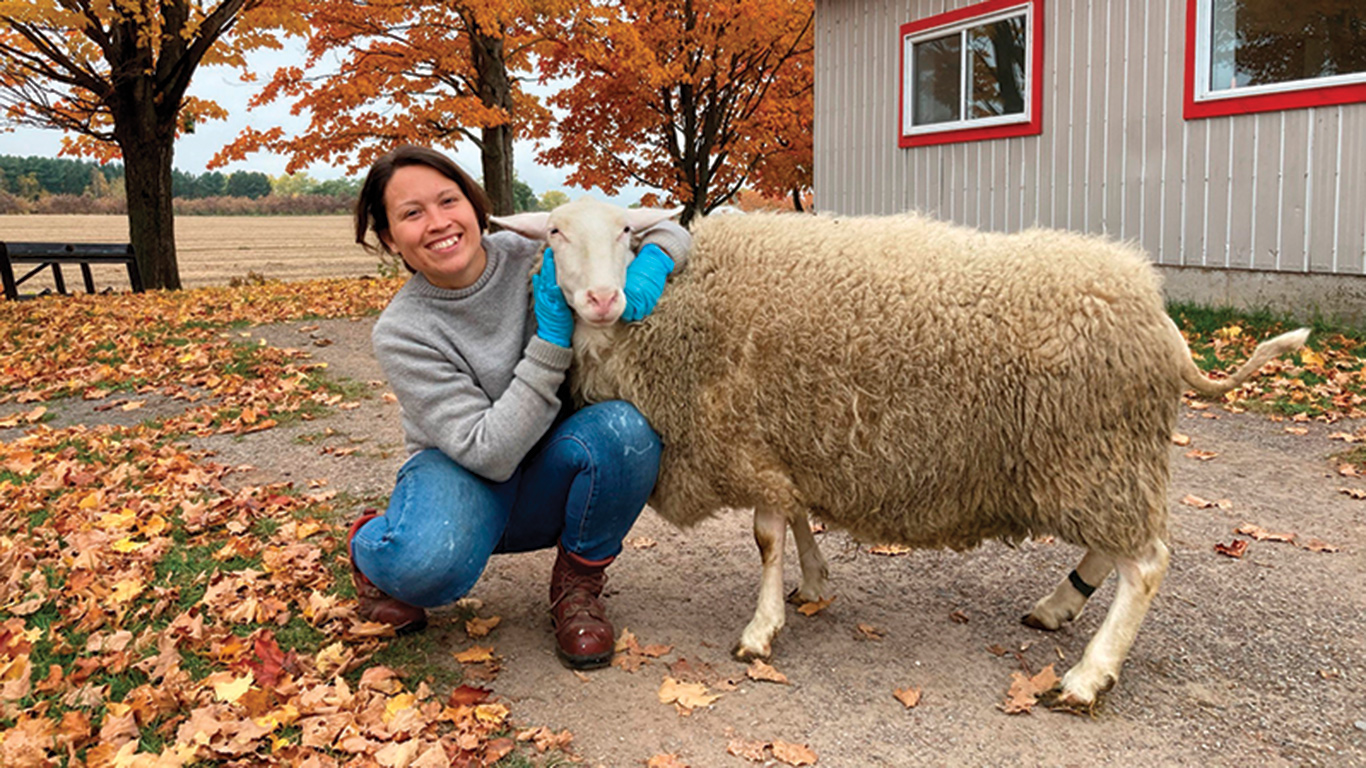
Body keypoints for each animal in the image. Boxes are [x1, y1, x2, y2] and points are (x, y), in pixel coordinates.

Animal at [494, 198, 1311, 705]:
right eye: (554, 236)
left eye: (626, 235)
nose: (601, 300)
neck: (665, 315)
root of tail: (1161, 318)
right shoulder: (790, 442)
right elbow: (796, 520)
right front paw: (815, 582)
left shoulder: (752, 439)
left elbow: (764, 536)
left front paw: (760, 632)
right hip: (1092, 461)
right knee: (1115, 547)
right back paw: (1055, 608)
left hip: (1096, 449)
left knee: (1147, 563)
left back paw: (1087, 676)